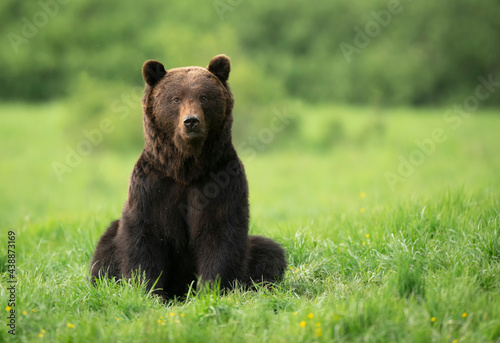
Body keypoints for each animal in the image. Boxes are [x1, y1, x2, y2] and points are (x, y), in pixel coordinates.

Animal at [89, 55, 286, 300]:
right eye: (175, 98)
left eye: (204, 96)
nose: (191, 121)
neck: (186, 168)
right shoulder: (153, 185)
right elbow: (144, 236)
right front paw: (148, 290)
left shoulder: (220, 181)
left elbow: (220, 235)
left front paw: (211, 290)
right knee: (105, 249)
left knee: (270, 251)